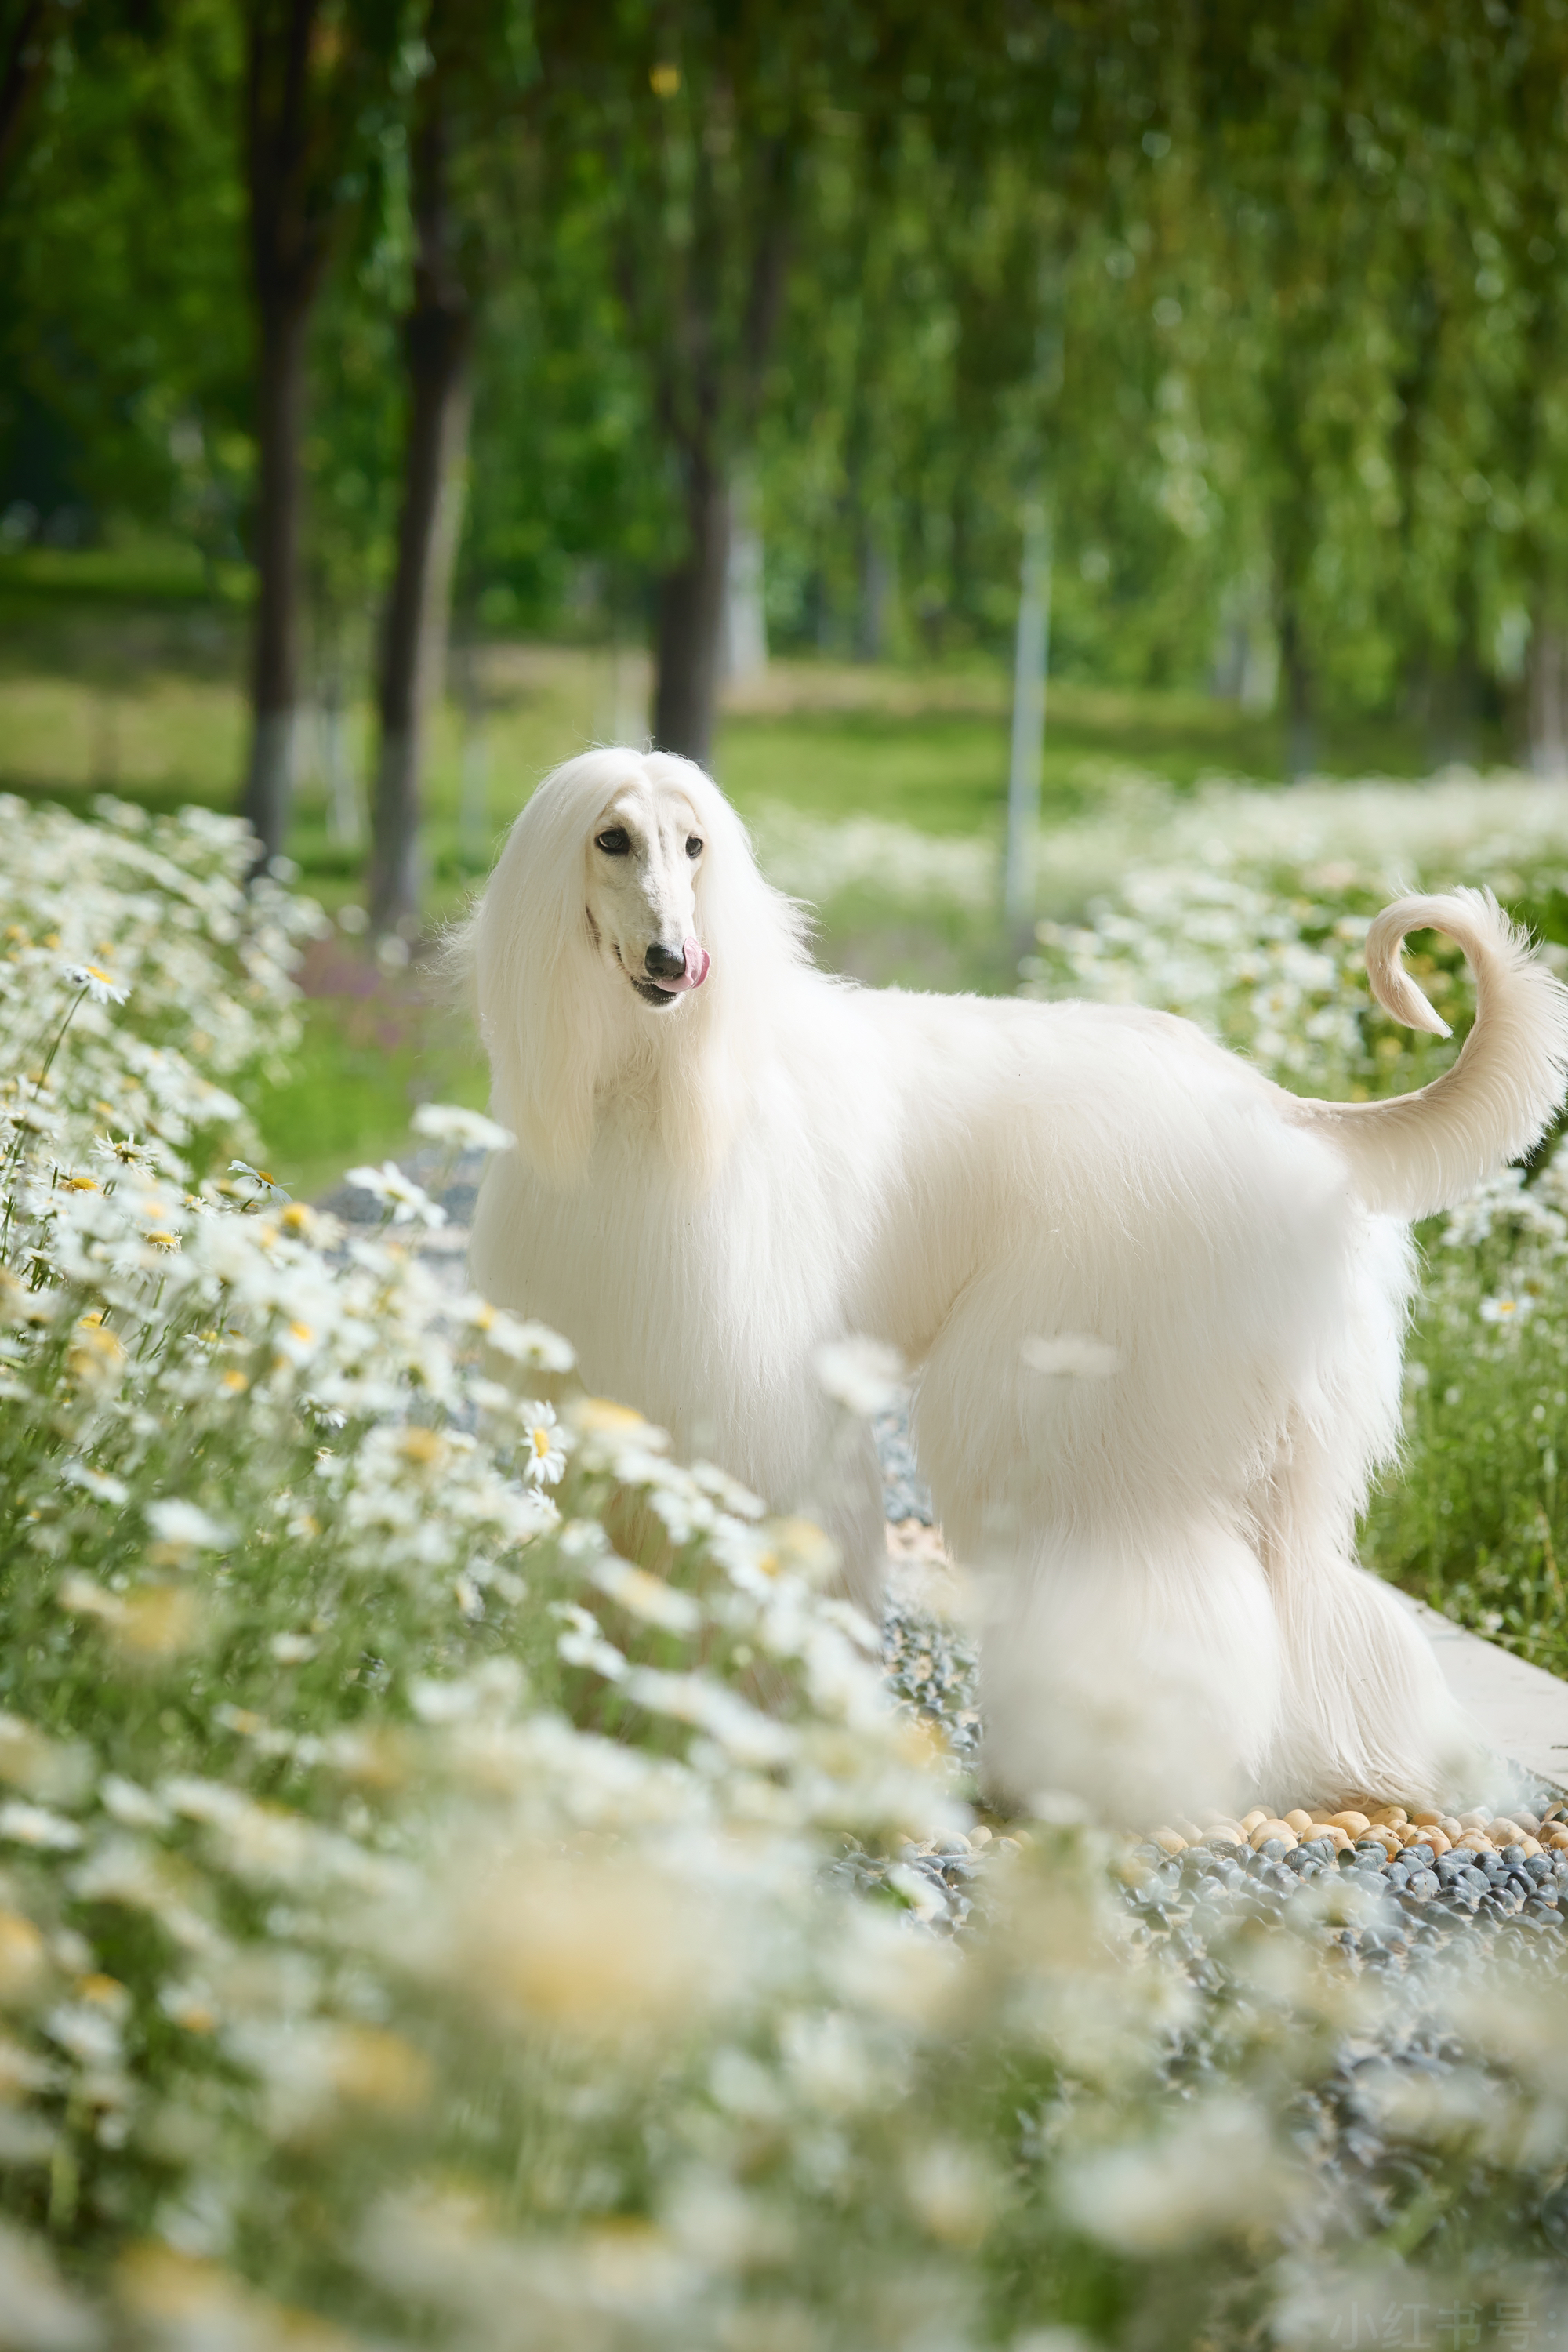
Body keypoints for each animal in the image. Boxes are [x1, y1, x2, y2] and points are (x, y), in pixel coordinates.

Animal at [466, 746, 1568, 1821]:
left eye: (694, 846)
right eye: (610, 839)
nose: (674, 961)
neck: (647, 1083)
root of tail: (1267, 1101)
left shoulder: (745, 1404)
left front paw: (745, 1718)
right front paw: (599, 1704)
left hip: (1086, 1389)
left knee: (1147, 1585)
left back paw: (1094, 1778)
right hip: (1265, 1430)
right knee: (1308, 1594)